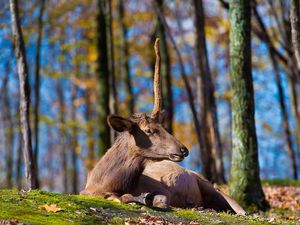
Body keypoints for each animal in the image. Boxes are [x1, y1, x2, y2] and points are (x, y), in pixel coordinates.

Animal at [78, 38, 189, 206]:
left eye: (163, 126)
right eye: (148, 130)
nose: (183, 149)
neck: (100, 183)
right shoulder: (85, 192)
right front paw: (142, 197)